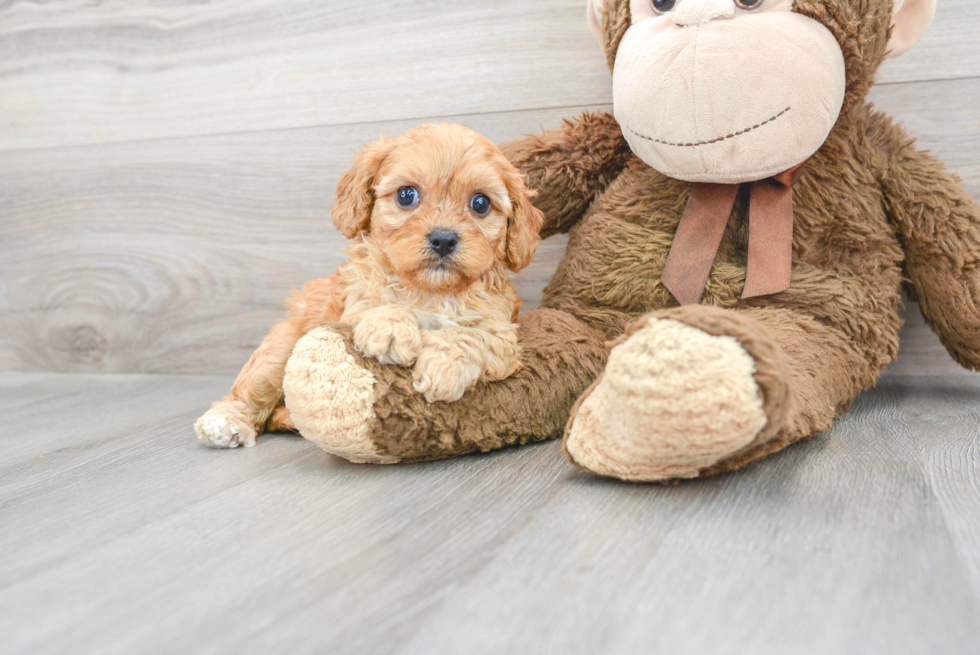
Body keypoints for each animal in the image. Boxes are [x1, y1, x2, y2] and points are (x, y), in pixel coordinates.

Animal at [191, 123, 544, 448]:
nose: (444, 239)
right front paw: (391, 328)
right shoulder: (352, 303)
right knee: (251, 391)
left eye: (480, 203)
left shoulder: (503, 333)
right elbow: (379, 303)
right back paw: (225, 421)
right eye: (406, 195)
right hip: (281, 347)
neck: (429, 291)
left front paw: (444, 368)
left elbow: (473, 336)